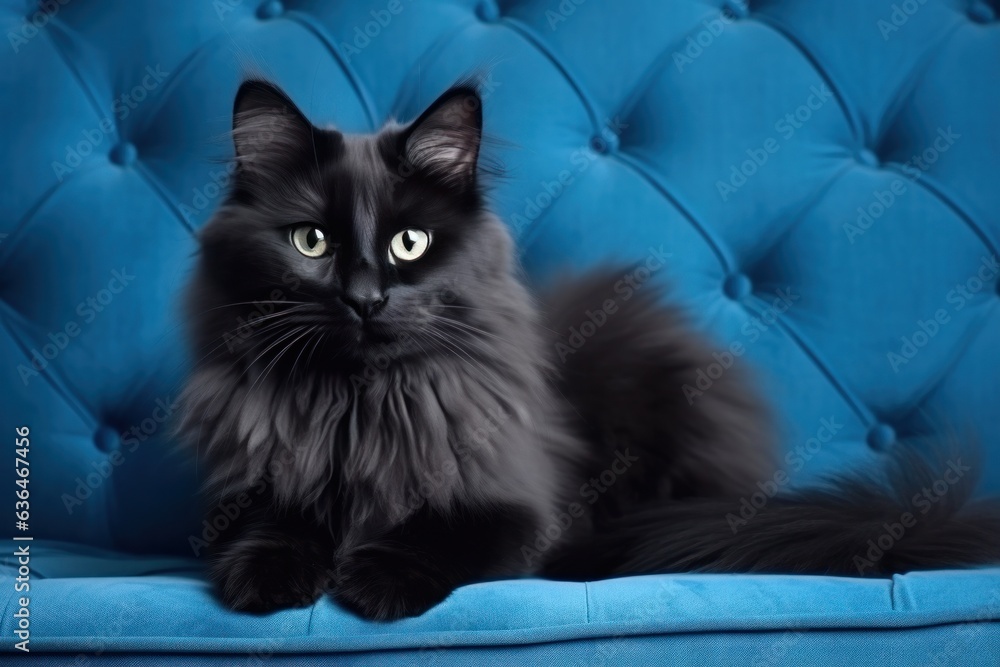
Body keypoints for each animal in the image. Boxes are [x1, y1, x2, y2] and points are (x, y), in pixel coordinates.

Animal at [178, 81, 1000, 624]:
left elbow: (439, 532)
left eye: (409, 243)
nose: (365, 299)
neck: (363, 408)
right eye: (310, 241)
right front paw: (269, 575)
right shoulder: (248, 487)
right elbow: (275, 522)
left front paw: (375, 579)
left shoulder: (515, 504)